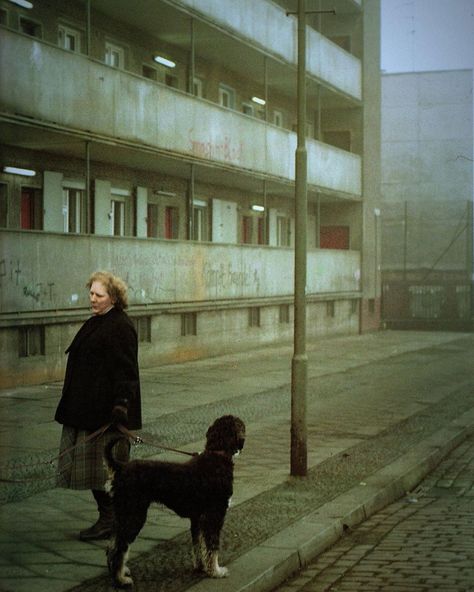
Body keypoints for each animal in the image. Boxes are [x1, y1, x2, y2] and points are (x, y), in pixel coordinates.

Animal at [103, 416, 244, 588]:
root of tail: (120, 468)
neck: (217, 455)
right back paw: (120, 580)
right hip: (134, 516)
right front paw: (216, 571)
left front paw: (201, 567)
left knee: (112, 546)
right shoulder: (214, 516)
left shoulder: (197, 519)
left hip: (122, 515)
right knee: (119, 549)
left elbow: (199, 546)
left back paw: (120, 572)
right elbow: (212, 547)